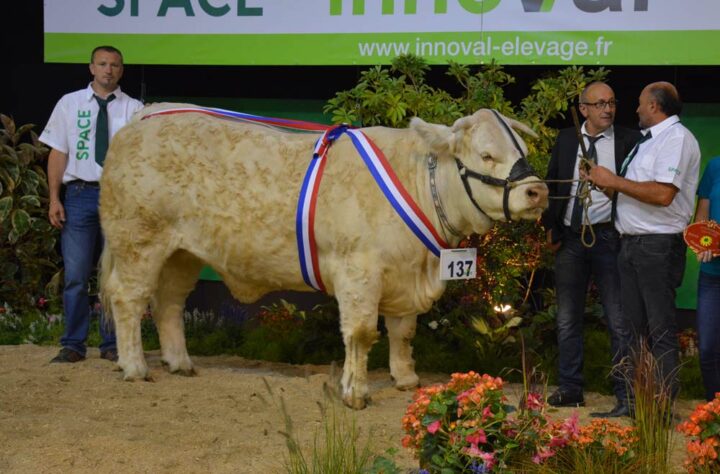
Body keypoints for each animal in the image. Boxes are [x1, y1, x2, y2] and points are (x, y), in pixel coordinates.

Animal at [100, 103, 544, 408]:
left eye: (522, 149)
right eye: (487, 155)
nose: (537, 190)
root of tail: (143, 117)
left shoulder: (403, 273)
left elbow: (403, 331)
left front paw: (405, 379)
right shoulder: (359, 270)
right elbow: (362, 333)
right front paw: (355, 393)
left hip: (182, 252)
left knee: (169, 303)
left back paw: (179, 362)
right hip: (138, 240)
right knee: (128, 298)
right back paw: (135, 367)